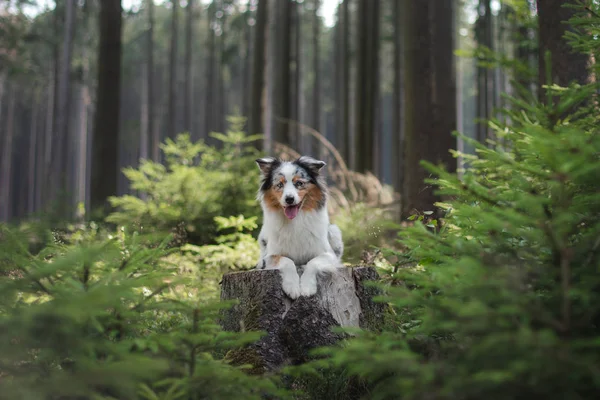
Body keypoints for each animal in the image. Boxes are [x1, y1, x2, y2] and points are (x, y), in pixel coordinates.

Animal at [255, 155, 344, 298]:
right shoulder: (271, 256)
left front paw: (307, 287)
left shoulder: (328, 254)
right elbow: (287, 261)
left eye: (299, 183)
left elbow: (313, 262)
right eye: (279, 184)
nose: (289, 199)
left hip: (334, 232)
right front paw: (292, 287)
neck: (295, 220)